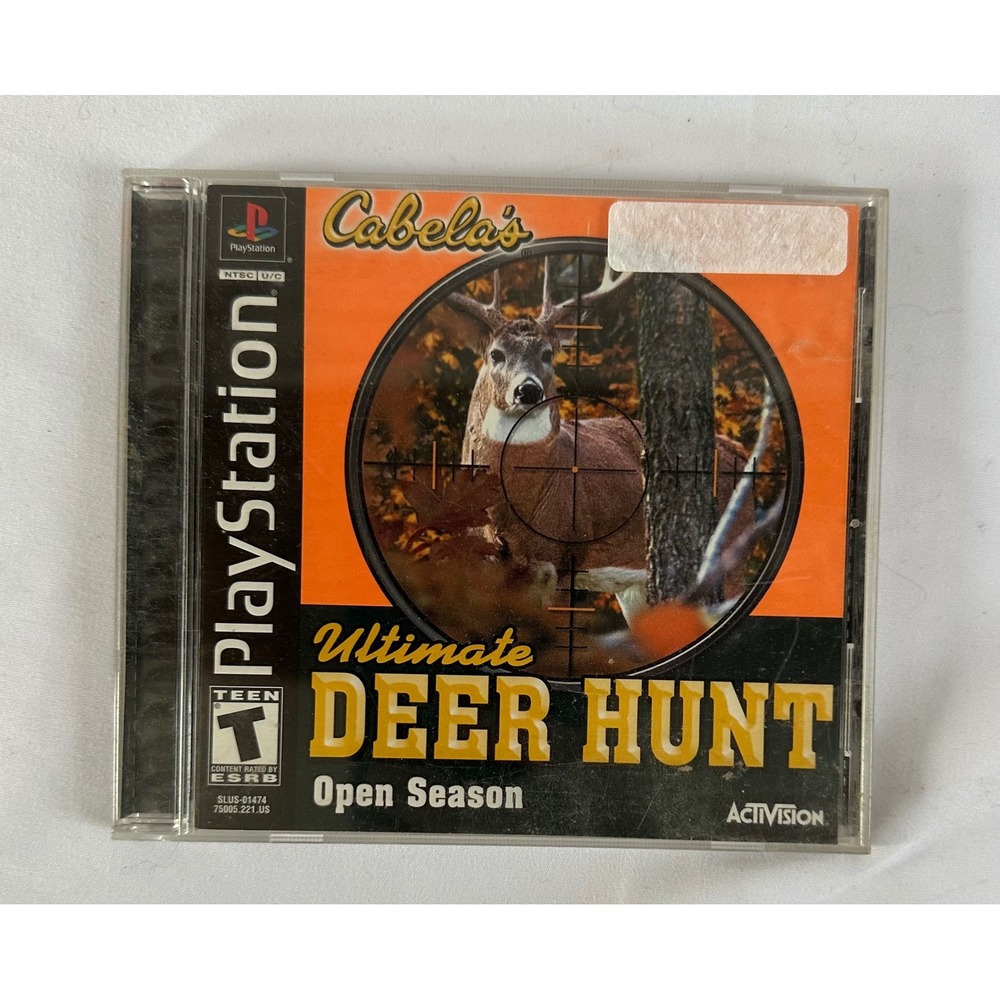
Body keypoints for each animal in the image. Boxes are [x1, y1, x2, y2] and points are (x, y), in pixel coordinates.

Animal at [445, 258, 755, 630]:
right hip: (636, 587)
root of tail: (740, 451)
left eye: (547, 354)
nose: (528, 389)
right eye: (496, 354)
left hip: (732, 550)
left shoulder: (561, 560)